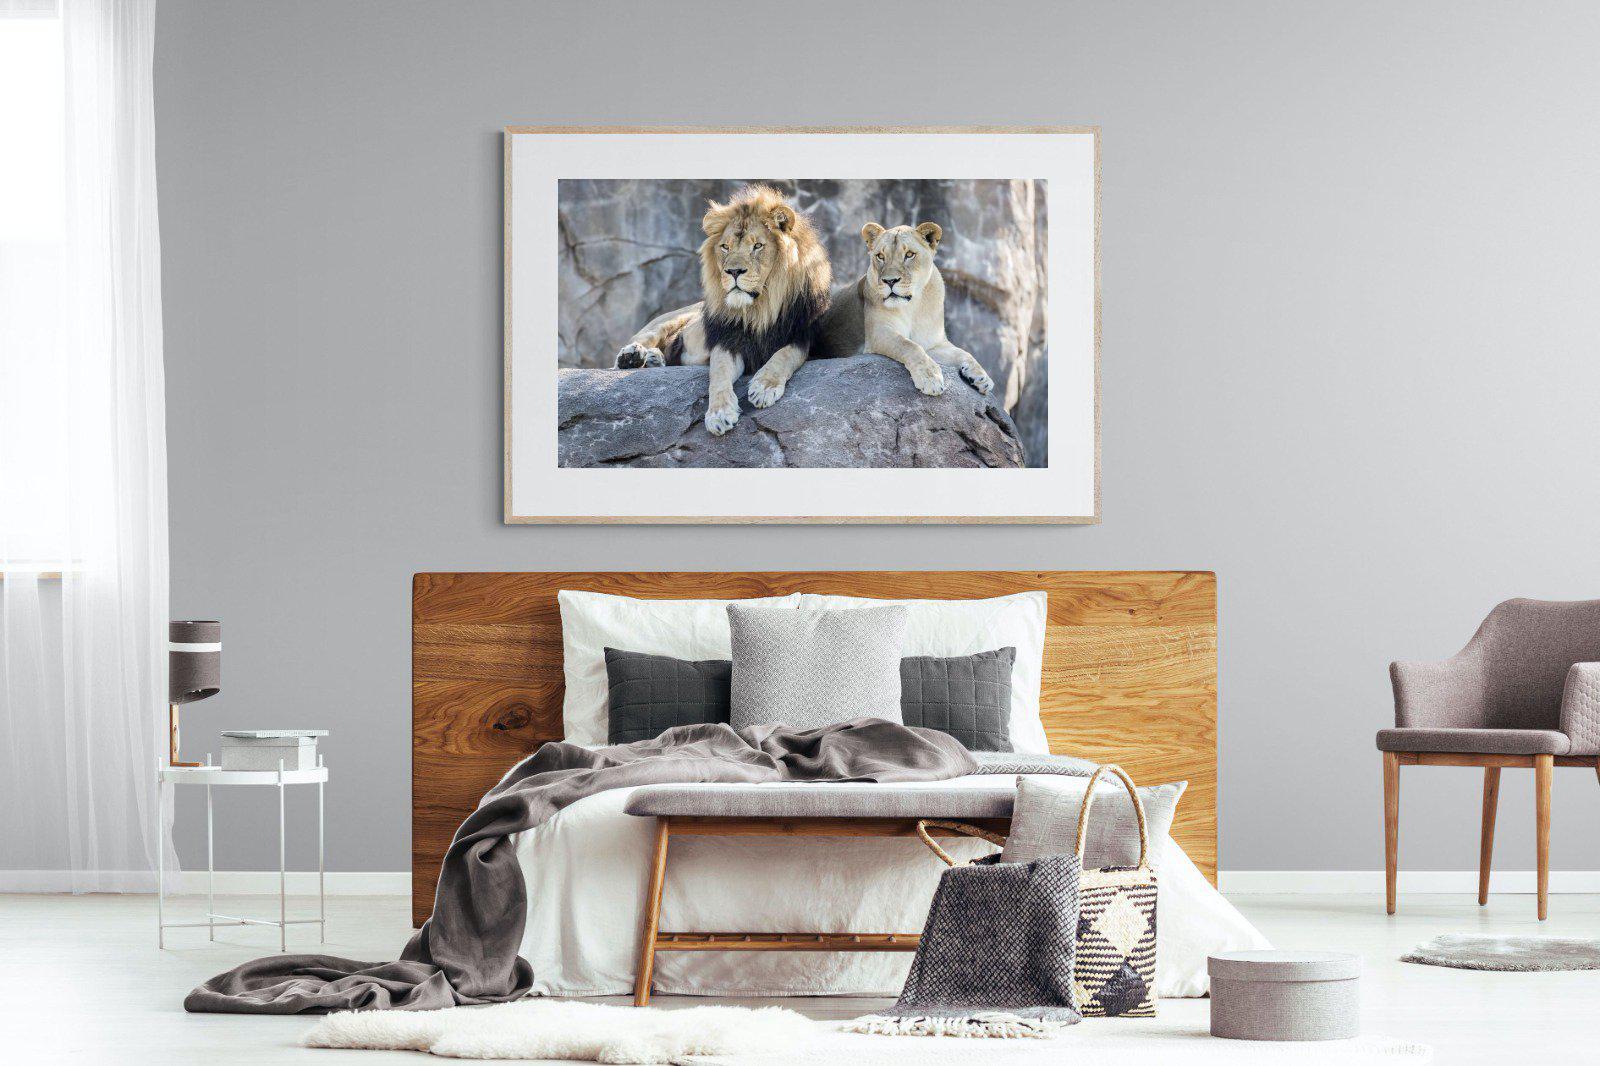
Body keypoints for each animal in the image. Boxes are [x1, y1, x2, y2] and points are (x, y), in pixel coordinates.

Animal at [613, 185, 832, 436]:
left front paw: (764, 387)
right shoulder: (727, 340)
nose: (733, 271)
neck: (759, 309)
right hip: (668, 319)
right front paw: (719, 414)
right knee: (639, 342)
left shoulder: (802, 337)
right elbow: (718, 374)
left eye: (757, 246)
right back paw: (632, 357)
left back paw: (653, 359)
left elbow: (784, 355)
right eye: (725, 247)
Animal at [812, 221, 994, 397]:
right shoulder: (878, 333)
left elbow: (964, 353)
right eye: (880, 256)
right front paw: (930, 378)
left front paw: (982, 377)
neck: (913, 306)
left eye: (909, 255)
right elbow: (909, 345)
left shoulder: (934, 344)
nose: (890, 281)